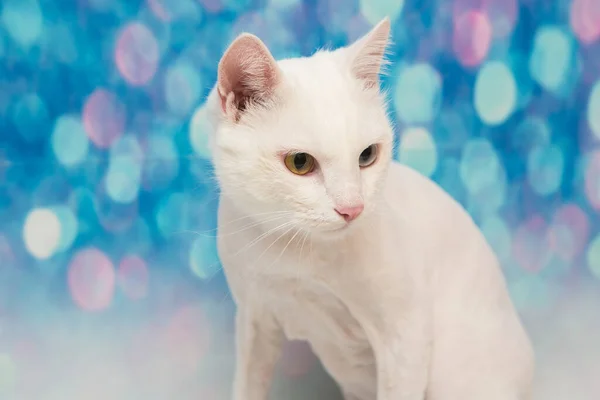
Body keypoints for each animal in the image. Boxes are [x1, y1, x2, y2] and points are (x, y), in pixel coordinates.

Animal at [207, 18, 536, 400]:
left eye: (367, 156)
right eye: (300, 163)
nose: (353, 208)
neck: (296, 252)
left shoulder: (405, 337)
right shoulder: (254, 319)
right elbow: (247, 384)